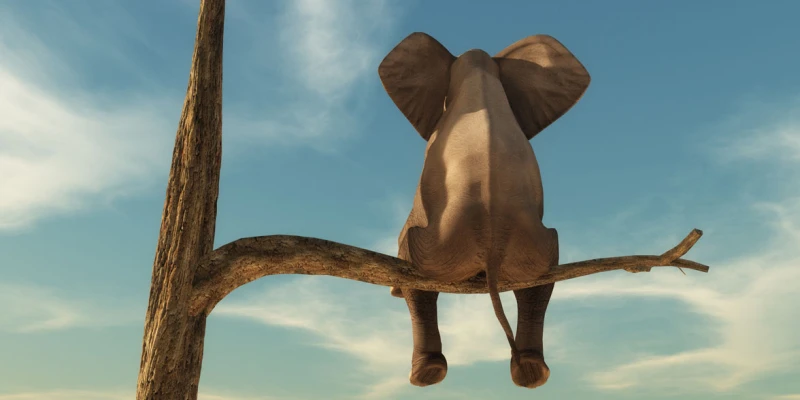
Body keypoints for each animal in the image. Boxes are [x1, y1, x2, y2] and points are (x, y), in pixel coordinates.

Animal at [378, 32, 590, 388]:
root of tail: (493, 245)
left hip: (439, 247)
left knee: (417, 273)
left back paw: (426, 374)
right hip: (532, 246)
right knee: (540, 279)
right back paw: (531, 373)